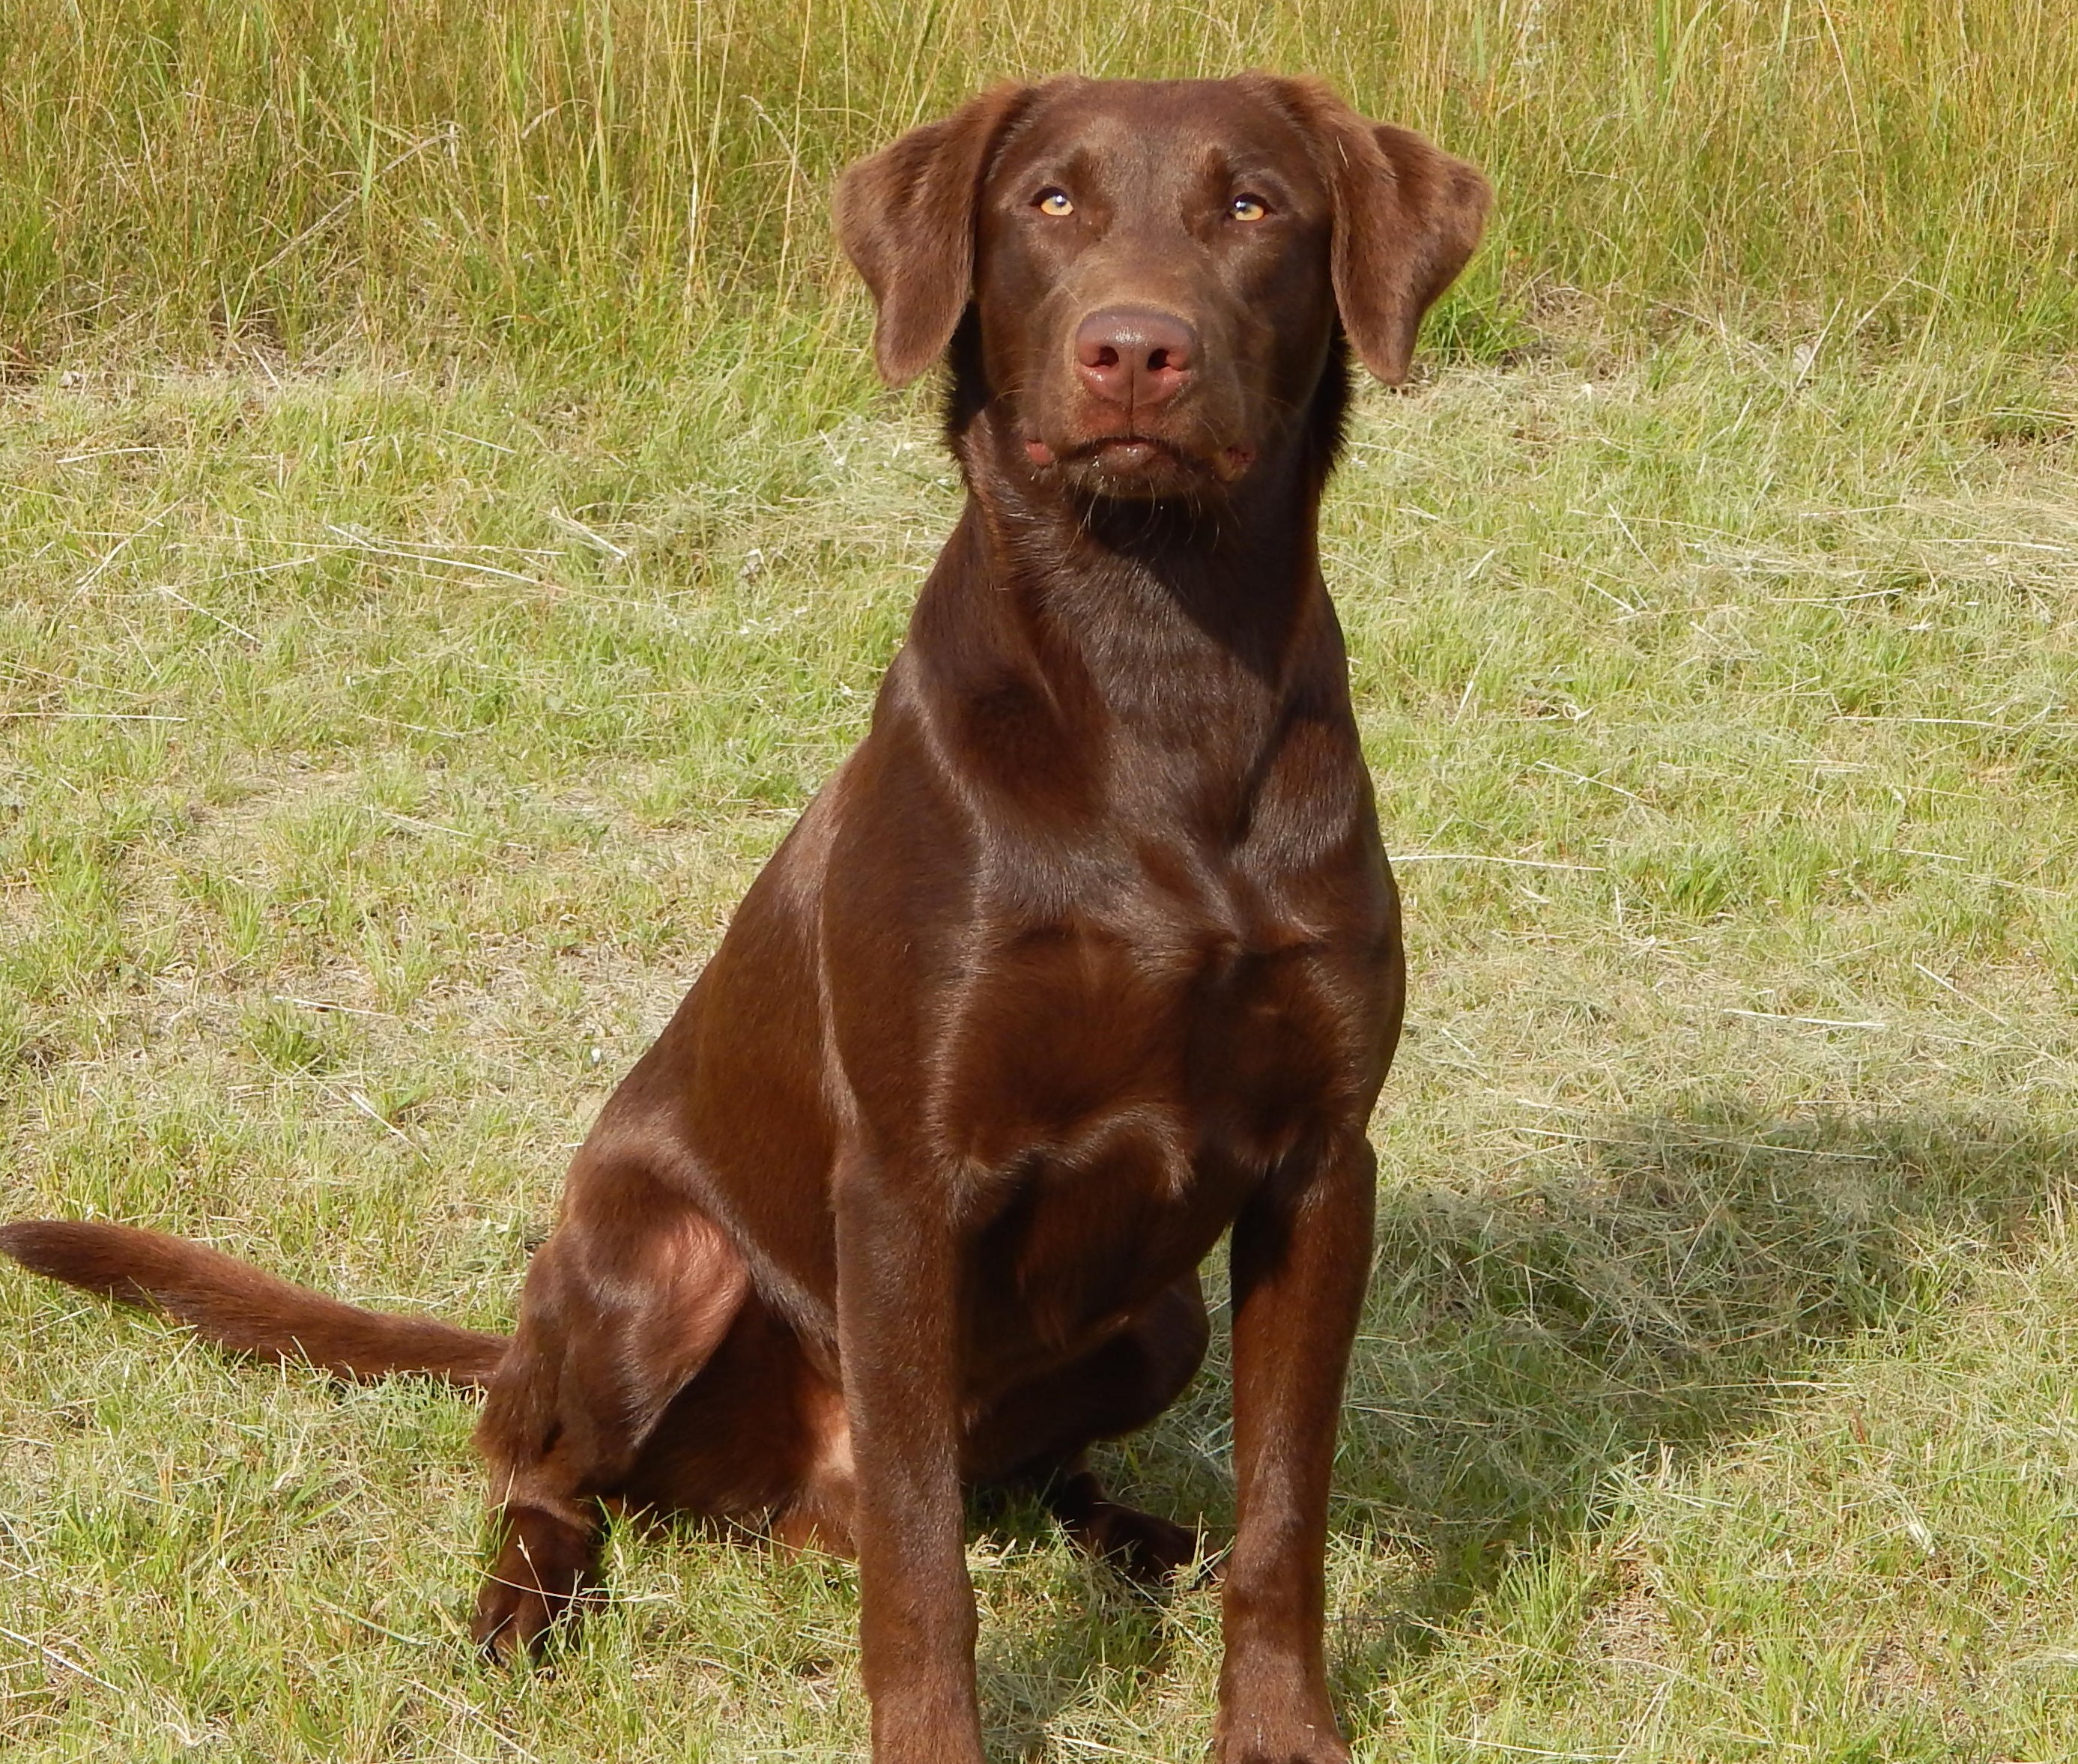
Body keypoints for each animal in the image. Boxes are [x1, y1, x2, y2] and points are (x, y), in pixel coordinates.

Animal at [0, 72, 1496, 1762]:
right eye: (1048, 201)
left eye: (1252, 207)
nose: (1134, 347)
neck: (1155, 666)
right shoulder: (907, 1183)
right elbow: (922, 1566)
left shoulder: (1320, 1165)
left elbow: (1282, 1511)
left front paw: (1277, 1722)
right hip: (661, 1266)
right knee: (545, 1471)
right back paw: (525, 1605)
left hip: (1160, 1314)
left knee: (1029, 1479)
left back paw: (1133, 1535)